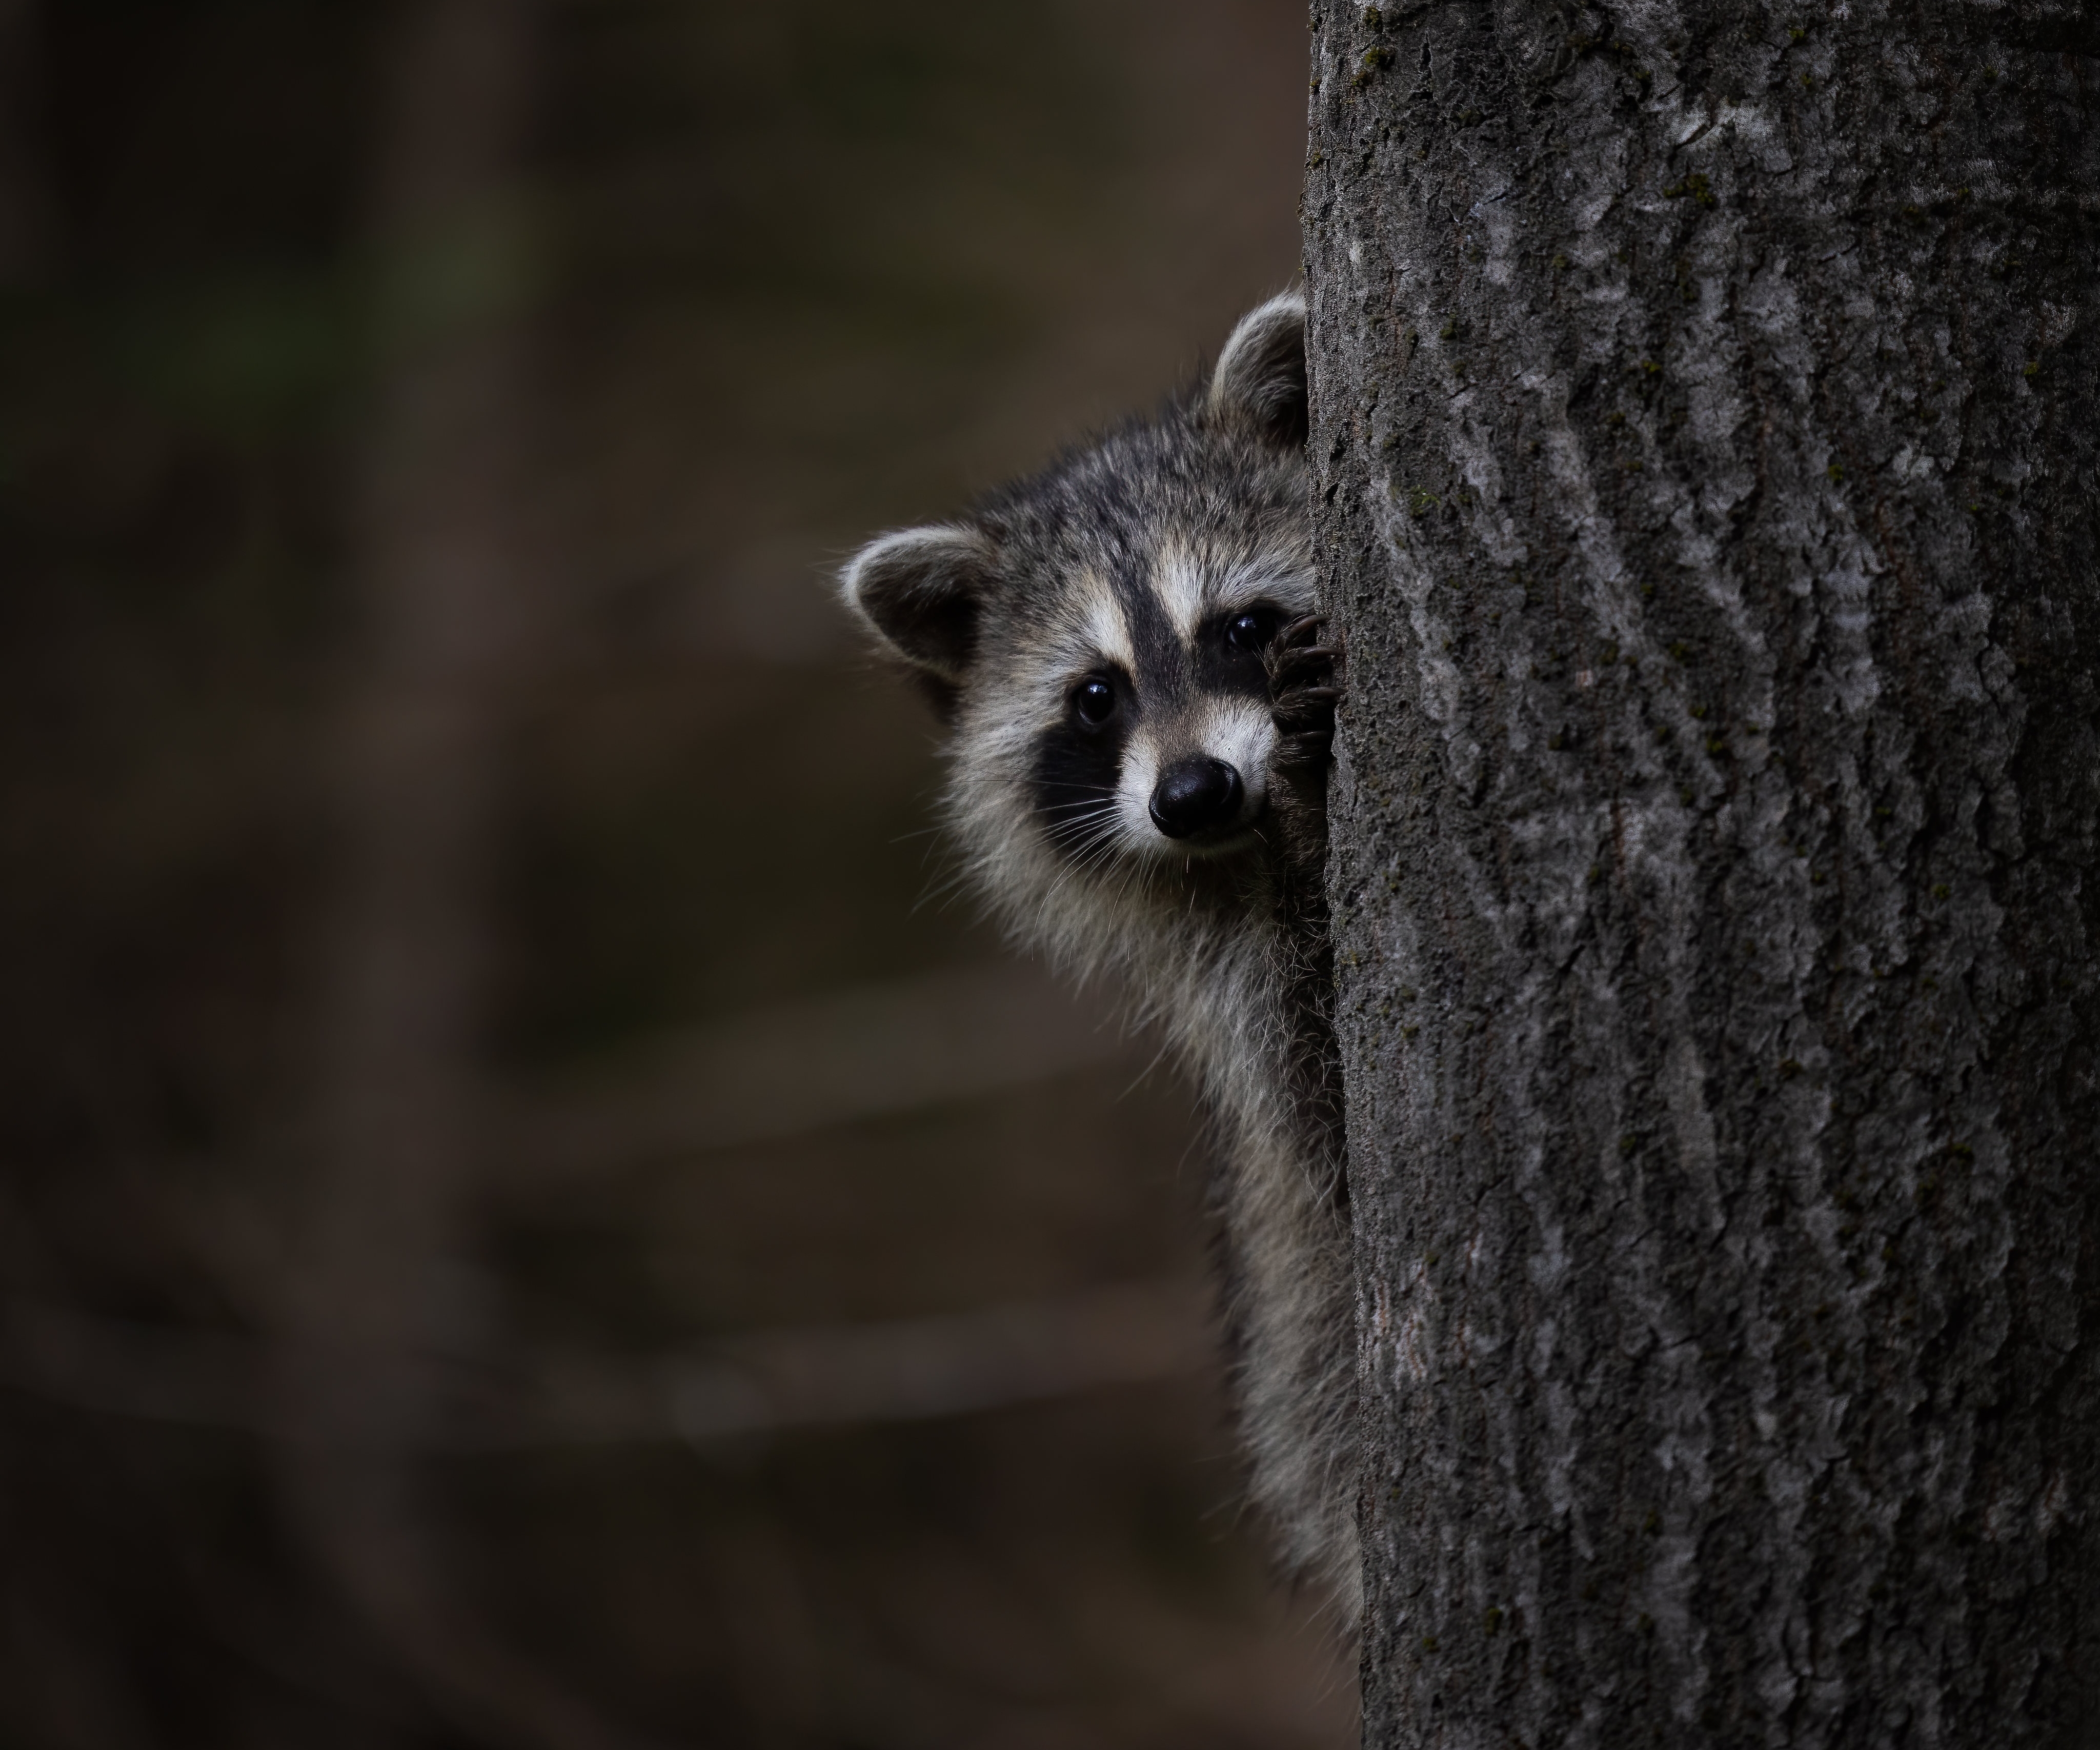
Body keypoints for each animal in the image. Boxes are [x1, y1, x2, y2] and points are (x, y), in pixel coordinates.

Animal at [838, 294, 1356, 1621]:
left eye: (1240, 626)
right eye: (1093, 697)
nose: (1194, 791)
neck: (1236, 852)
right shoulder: (1239, 993)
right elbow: (1317, 1109)